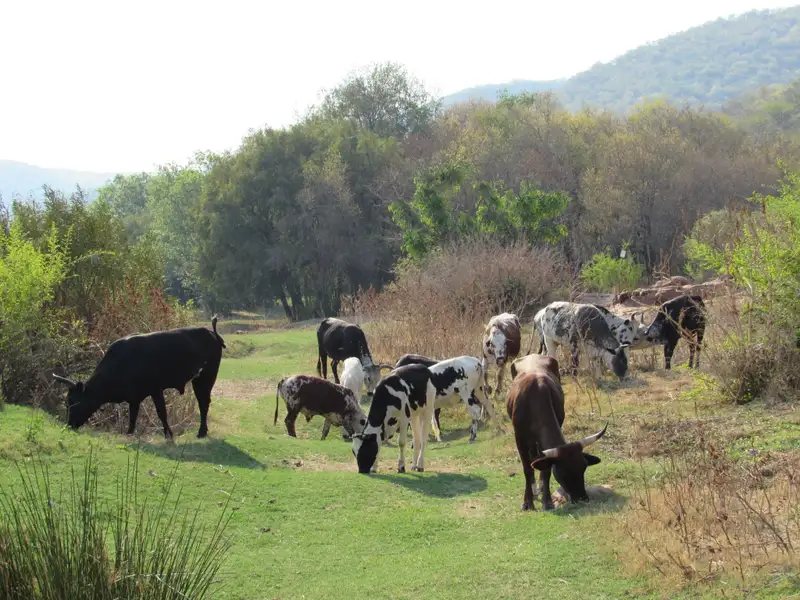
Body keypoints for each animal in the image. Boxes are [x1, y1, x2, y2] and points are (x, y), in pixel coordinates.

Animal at [52, 317, 226, 440]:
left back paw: (201, 432)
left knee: (203, 403)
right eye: (67, 401)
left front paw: (168, 434)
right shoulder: (134, 397)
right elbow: (132, 416)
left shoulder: (156, 389)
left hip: (206, 378)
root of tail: (212, 333)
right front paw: (129, 434)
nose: (69, 424)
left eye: (74, 401)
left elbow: (161, 412)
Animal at [507, 354, 607, 511]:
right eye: (563, 472)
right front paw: (527, 502)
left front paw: (547, 501)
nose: (582, 498)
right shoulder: (519, 438)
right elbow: (527, 469)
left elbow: (546, 470)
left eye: (584, 467)